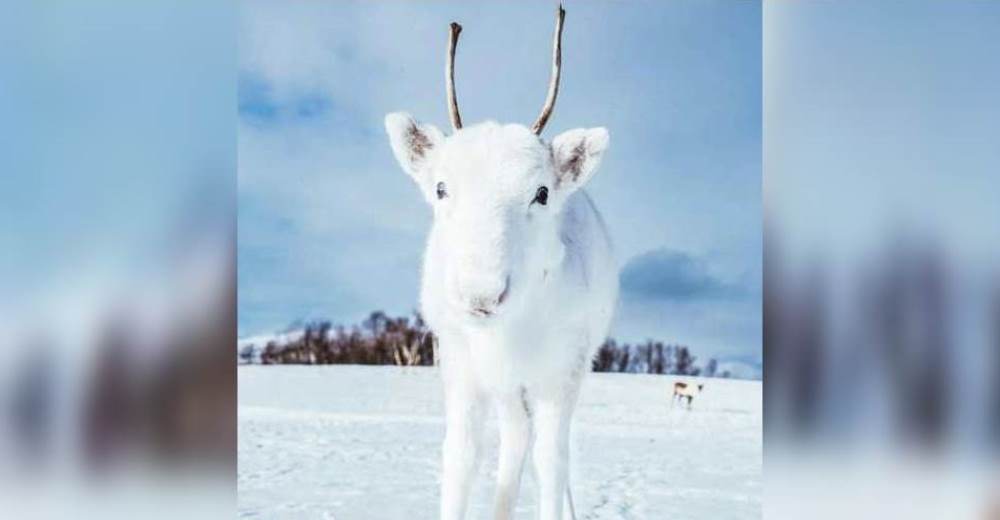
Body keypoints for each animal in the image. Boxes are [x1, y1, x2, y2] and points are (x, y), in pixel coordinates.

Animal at [384, 6, 612, 516]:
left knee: (555, 450)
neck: (509, 333)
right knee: (513, 437)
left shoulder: (562, 369)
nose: (481, 295)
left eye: (542, 192)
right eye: (441, 188)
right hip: (505, 387)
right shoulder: (460, 361)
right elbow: (461, 457)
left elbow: (551, 464)